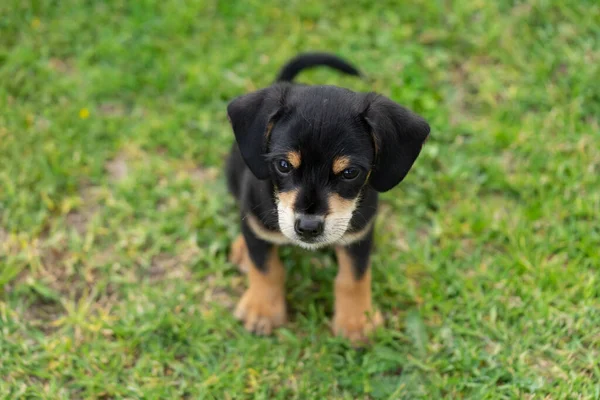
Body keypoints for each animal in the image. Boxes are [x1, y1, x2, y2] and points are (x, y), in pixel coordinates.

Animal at [226, 52, 432, 340]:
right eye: (283, 165)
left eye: (350, 172)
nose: (308, 228)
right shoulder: (257, 221)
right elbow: (265, 267)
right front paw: (262, 310)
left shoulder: (359, 233)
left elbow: (354, 277)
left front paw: (356, 321)